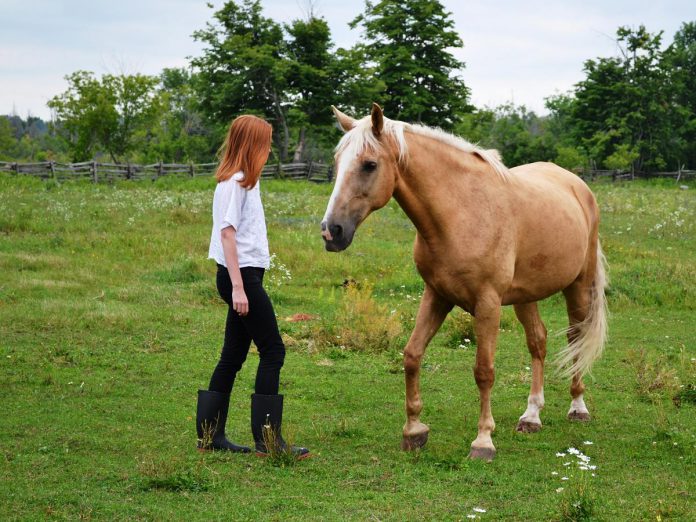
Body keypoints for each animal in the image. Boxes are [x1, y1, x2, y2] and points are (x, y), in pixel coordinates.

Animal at [322, 102, 608, 460]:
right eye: (337, 162)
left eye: (369, 165)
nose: (331, 231)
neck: (461, 213)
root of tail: (577, 185)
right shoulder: (436, 296)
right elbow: (412, 355)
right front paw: (414, 431)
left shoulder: (488, 304)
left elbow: (484, 371)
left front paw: (483, 441)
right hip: (525, 295)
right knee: (538, 342)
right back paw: (531, 416)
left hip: (578, 286)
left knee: (576, 338)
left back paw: (577, 407)